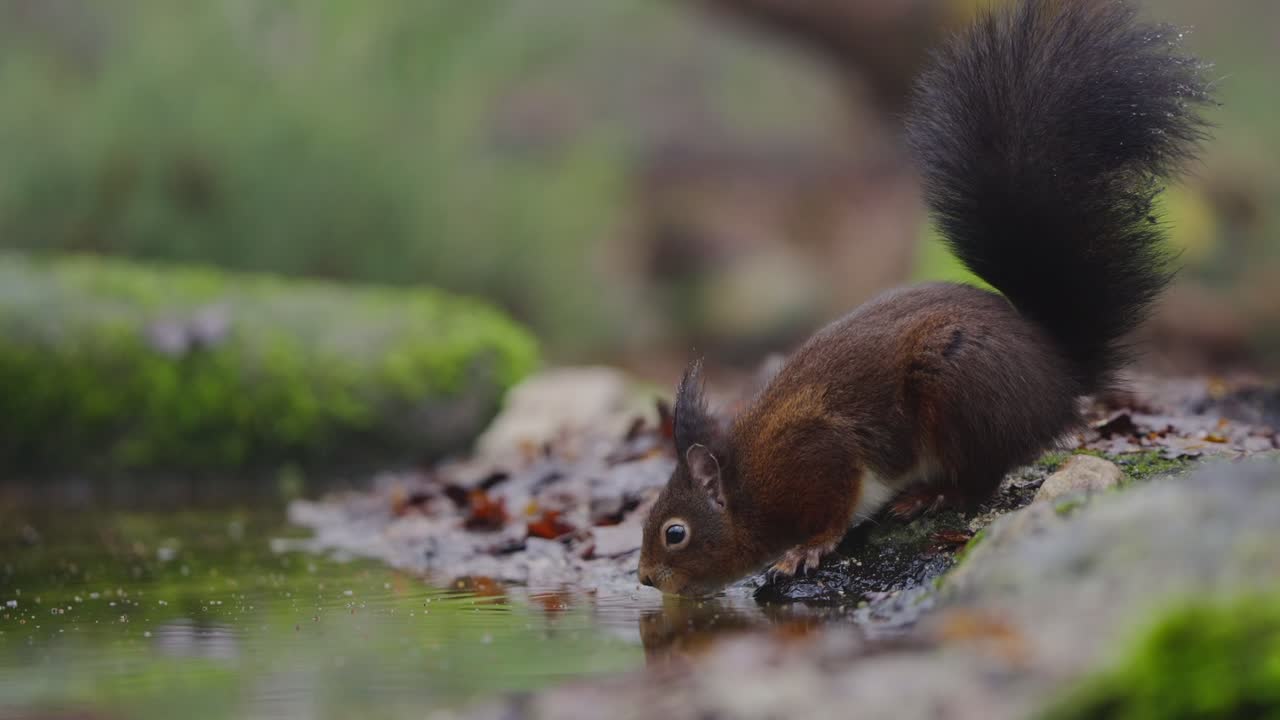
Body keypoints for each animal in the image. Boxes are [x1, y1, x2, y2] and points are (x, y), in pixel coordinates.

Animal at [638, 0, 1214, 597]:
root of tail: (1058, 373)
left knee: (982, 480)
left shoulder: (818, 456)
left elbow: (835, 510)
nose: (645, 579)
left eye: (674, 533)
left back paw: (932, 495)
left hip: (958, 388)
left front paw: (806, 550)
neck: (747, 487)